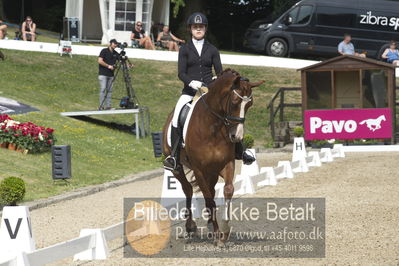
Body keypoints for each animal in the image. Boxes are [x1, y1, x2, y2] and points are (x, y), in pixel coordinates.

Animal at [162, 69, 262, 245]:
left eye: (249, 105)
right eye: (235, 102)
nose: (236, 136)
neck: (212, 127)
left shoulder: (227, 164)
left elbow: (227, 190)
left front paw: (224, 231)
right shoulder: (199, 170)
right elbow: (208, 198)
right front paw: (217, 234)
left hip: (212, 171)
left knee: (211, 189)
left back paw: (208, 224)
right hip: (177, 168)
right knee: (188, 189)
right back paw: (190, 226)